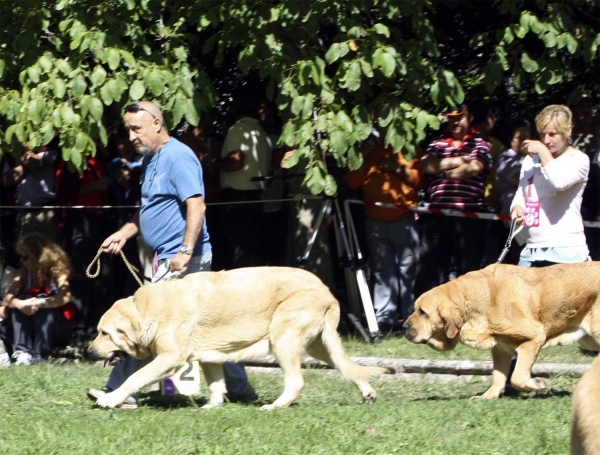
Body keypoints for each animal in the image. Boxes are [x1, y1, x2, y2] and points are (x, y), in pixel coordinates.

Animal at [90, 266, 390, 412]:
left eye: (104, 333)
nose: (90, 351)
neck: (148, 310)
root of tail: (326, 289)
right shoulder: (208, 356)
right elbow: (216, 385)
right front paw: (212, 407)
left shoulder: (169, 358)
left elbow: (135, 377)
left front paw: (110, 399)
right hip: (320, 346)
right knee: (346, 366)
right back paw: (368, 393)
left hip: (283, 338)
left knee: (296, 382)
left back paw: (275, 406)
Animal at [404, 264, 600, 400]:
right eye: (416, 309)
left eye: (422, 312)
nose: (404, 327)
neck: (470, 302)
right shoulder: (500, 349)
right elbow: (498, 377)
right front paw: (487, 397)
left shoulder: (533, 338)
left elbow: (517, 377)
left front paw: (539, 384)